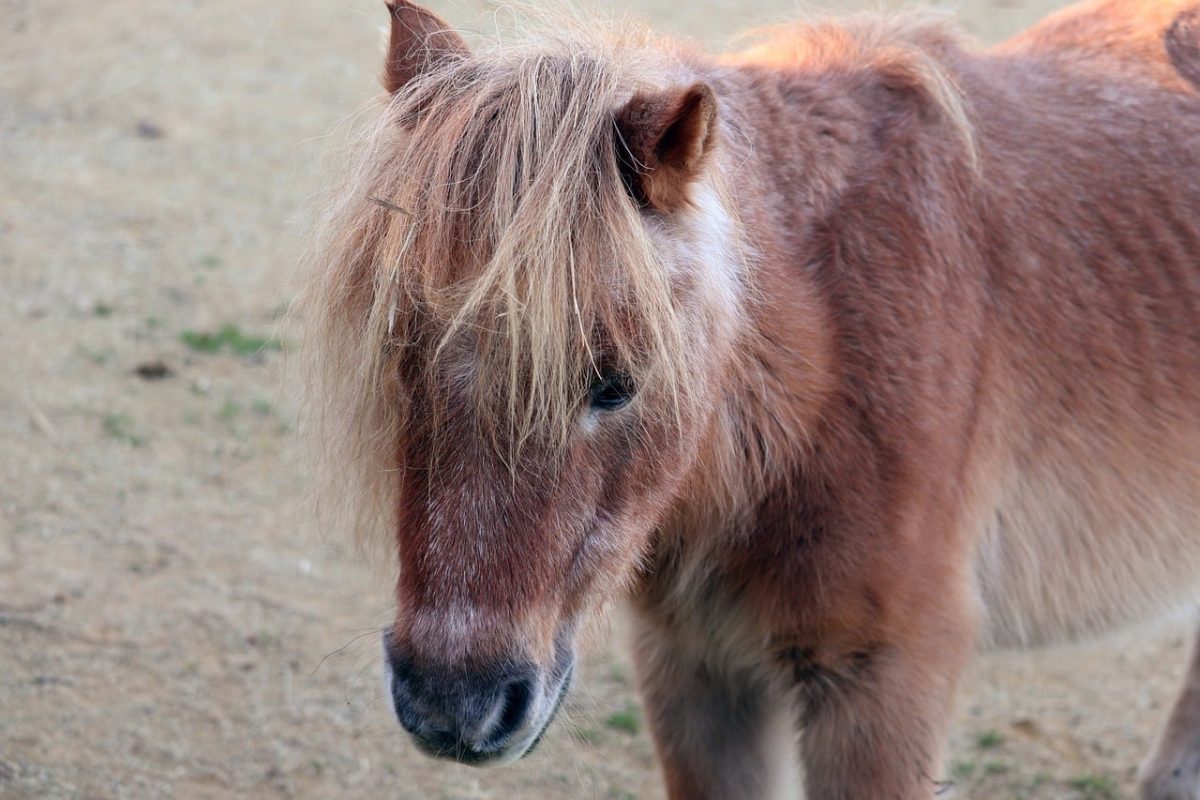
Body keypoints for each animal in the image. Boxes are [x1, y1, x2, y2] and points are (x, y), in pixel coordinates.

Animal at [299, 0, 1200, 796]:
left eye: (615, 384)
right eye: (399, 352)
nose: (454, 706)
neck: (825, 358)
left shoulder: (883, 686)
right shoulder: (697, 670)